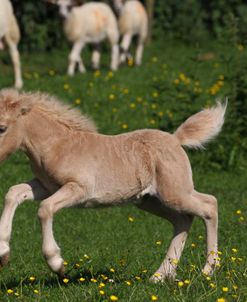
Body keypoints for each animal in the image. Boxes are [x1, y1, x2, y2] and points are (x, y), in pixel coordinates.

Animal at [0, 89, 226, 280]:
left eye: (2, 128)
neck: (57, 146)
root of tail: (175, 139)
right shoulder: (45, 186)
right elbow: (13, 193)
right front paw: (3, 252)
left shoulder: (78, 189)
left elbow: (44, 209)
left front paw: (57, 263)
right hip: (149, 201)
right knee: (182, 220)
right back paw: (160, 276)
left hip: (174, 193)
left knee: (209, 205)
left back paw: (208, 270)